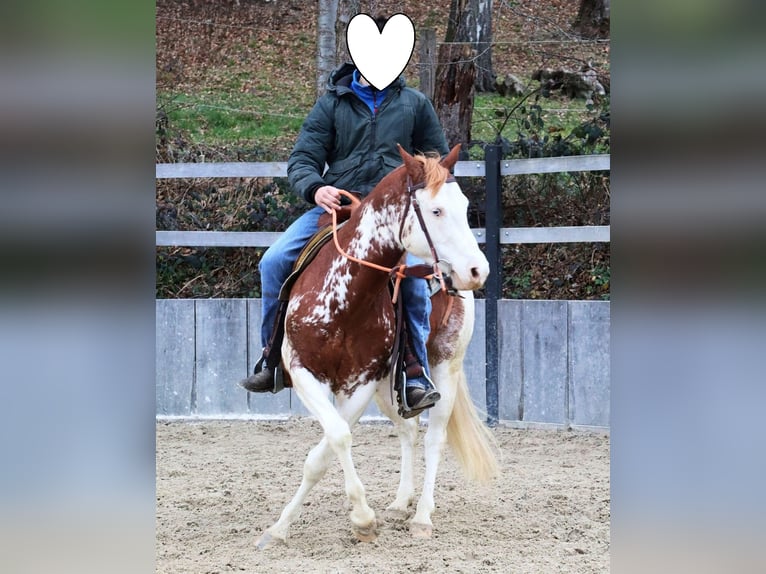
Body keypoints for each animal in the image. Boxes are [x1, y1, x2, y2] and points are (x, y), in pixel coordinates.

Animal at [255, 144, 498, 549]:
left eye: (464, 206)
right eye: (436, 210)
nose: (477, 271)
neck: (347, 296)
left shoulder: (360, 383)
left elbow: (331, 443)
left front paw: (362, 520)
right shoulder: (304, 372)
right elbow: (333, 440)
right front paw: (280, 527)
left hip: (444, 367)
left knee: (433, 437)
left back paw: (422, 516)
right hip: (391, 385)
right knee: (407, 430)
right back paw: (400, 504)